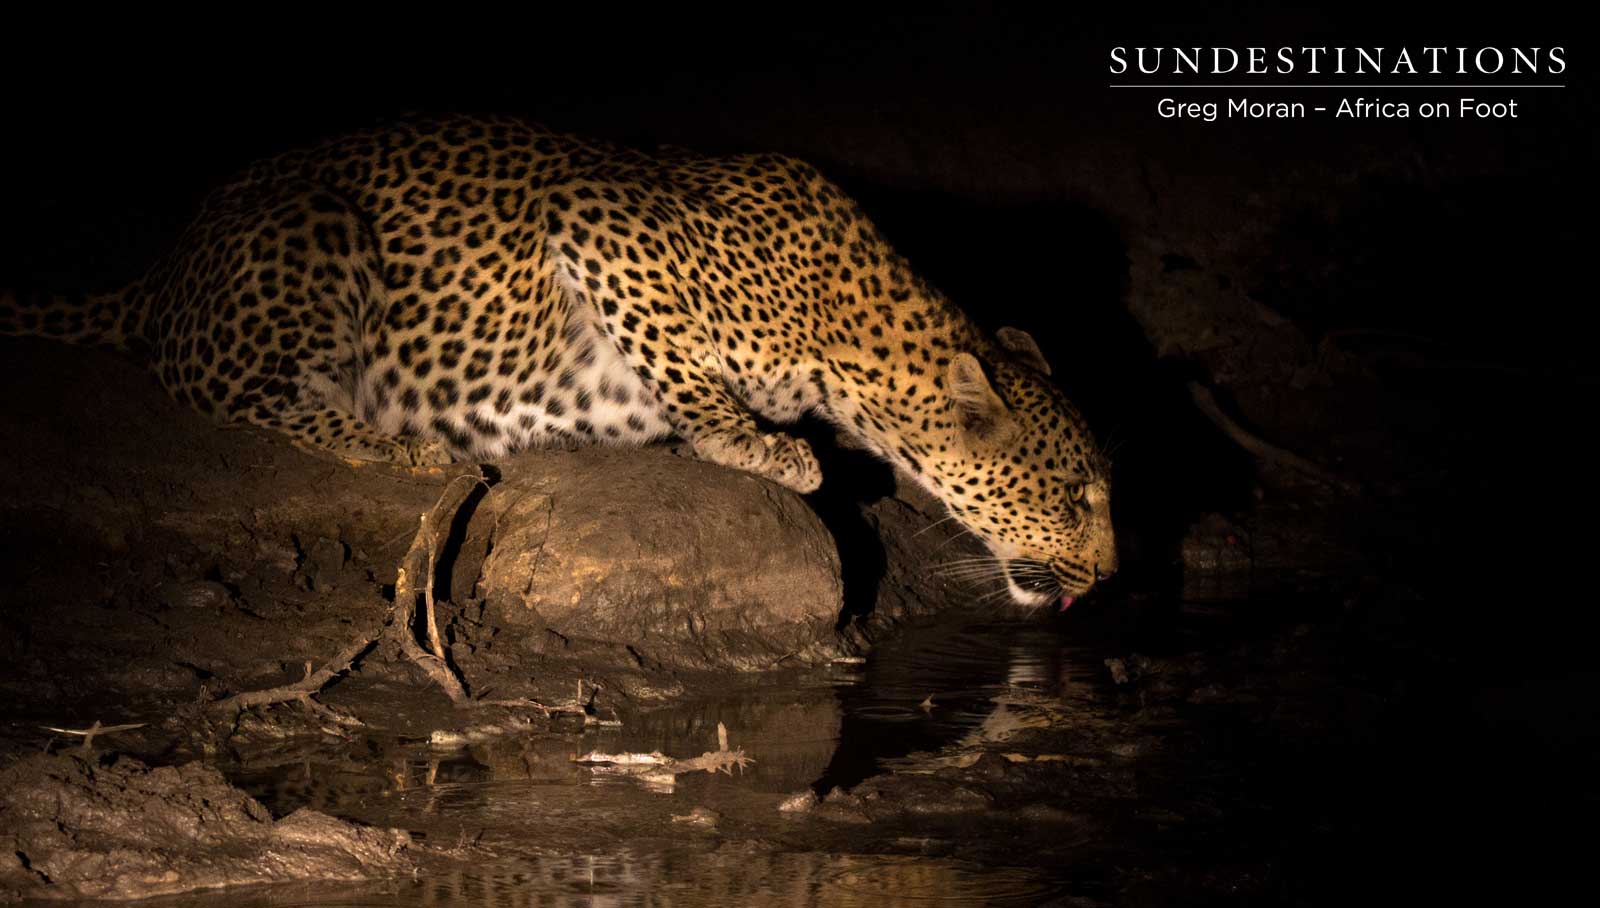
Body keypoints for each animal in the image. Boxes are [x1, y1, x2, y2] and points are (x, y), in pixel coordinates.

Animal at [0, 114, 1116, 606]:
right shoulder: (598, 219)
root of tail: (164, 268)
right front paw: (766, 448)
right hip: (317, 231)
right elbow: (688, 369)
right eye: (1074, 499)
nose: (1108, 578)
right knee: (236, 394)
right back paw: (399, 444)